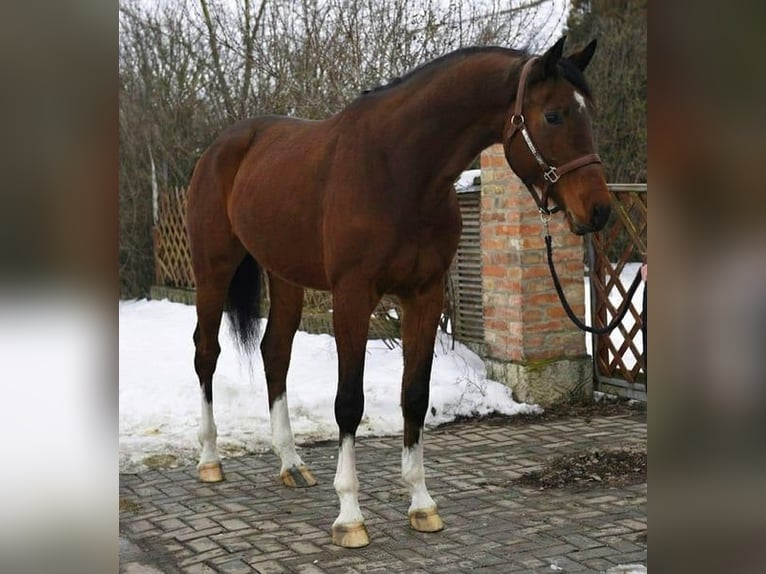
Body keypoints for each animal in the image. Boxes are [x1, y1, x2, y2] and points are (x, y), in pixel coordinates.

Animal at [186, 36, 609, 548]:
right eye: (553, 115)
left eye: (587, 114)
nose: (600, 210)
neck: (401, 170)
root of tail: (221, 148)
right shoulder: (352, 296)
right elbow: (349, 402)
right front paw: (349, 515)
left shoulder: (423, 296)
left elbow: (415, 395)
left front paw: (422, 504)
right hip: (213, 271)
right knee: (206, 353)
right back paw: (210, 460)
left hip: (285, 277)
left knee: (275, 353)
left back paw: (291, 463)